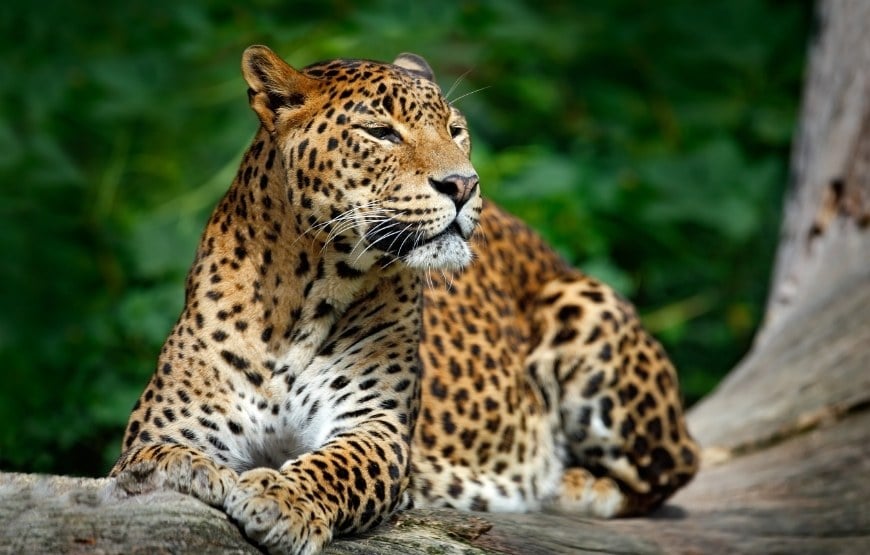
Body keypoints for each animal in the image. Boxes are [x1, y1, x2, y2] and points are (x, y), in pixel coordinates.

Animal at [111, 45, 699, 555]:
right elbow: (154, 455)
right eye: (380, 132)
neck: (303, 293)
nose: (464, 184)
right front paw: (185, 470)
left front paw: (281, 499)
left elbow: (335, 466)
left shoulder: (376, 427)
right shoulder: (169, 422)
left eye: (456, 131)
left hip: (584, 305)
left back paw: (572, 484)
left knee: (676, 465)